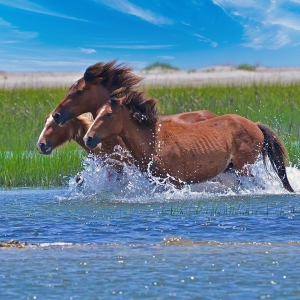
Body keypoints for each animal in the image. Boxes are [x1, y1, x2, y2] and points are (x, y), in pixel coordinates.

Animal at [82, 89, 292, 192]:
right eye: (97, 112)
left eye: (109, 114)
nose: (88, 138)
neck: (154, 142)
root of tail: (255, 125)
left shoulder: (176, 182)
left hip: (244, 169)